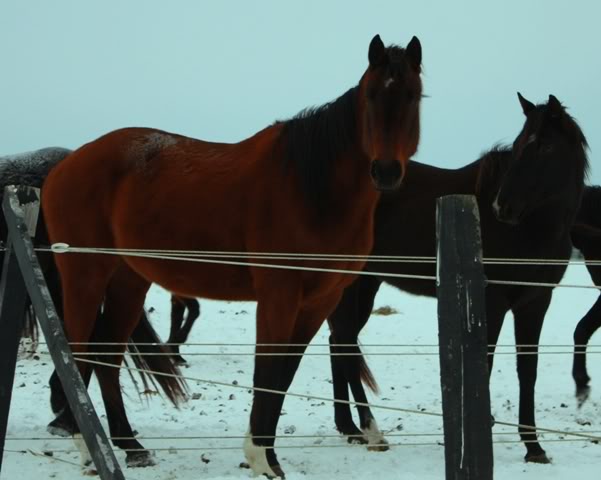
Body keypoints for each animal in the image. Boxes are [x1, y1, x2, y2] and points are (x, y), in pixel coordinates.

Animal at [41, 34, 422, 476]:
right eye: (371, 96)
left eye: (412, 95)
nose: (386, 171)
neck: (312, 190)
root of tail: (64, 166)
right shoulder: (278, 296)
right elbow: (268, 373)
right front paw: (261, 458)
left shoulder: (320, 301)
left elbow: (283, 376)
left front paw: (268, 457)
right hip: (85, 276)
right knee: (79, 353)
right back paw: (88, 448)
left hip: (128, 281)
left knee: (107, 356)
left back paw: (129, 445)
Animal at [326, 92, 588, 464]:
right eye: (520, 144)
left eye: (545, 146)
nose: (502, 207)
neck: (533, 229)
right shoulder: (491, 301)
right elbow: (483, 364)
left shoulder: (536, 301)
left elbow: (528, 369)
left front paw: (534, 447)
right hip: (352, 284)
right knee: (345, 342)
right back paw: (371, 431)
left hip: (363, 284)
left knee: (338, 342)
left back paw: (349, 427)